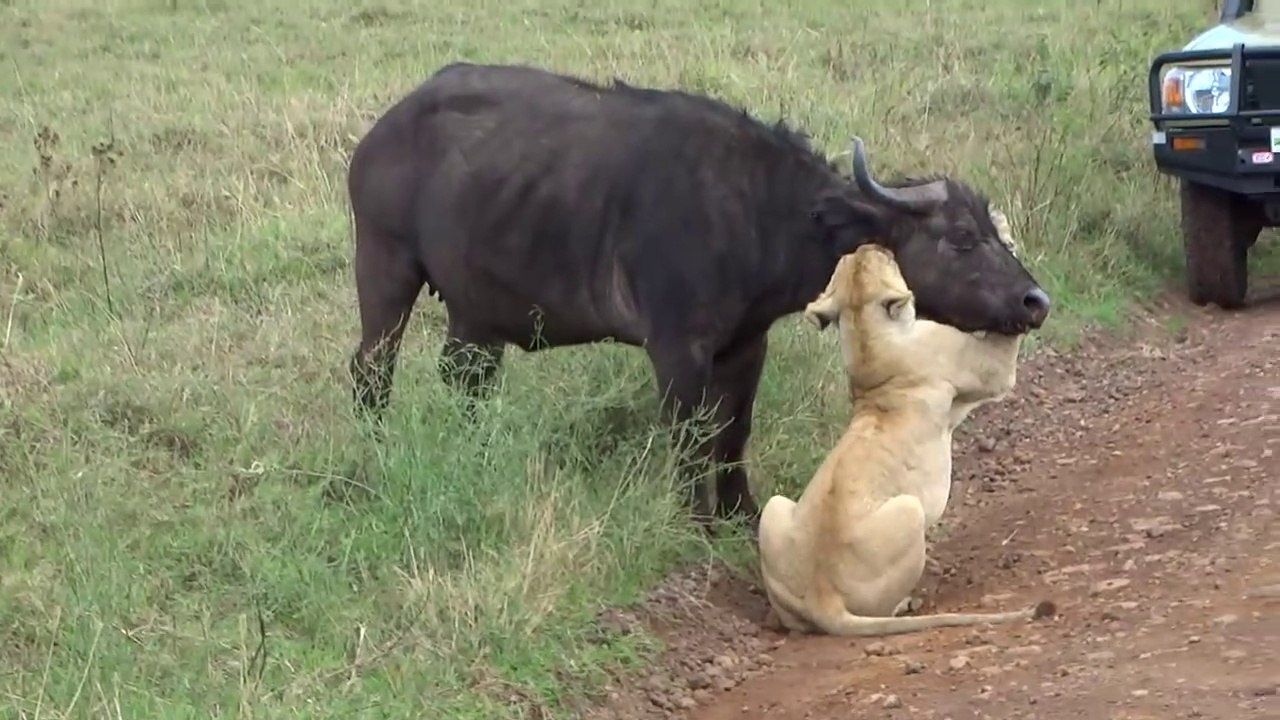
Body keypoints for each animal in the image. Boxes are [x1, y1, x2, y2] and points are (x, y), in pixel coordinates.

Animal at [345, 62, 1050, 532]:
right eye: (960, 238)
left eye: (993, 230)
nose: (1034, 301)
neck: (761, 213)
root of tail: (383, 132)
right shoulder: (676, 347)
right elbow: (689, 433)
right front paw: (696, 520)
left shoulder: (747, 343)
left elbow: (734, 428)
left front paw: (740, 511)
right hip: (385, 267)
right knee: (371, 372)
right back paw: (367, 464)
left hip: (475, 313)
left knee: (465, 380)